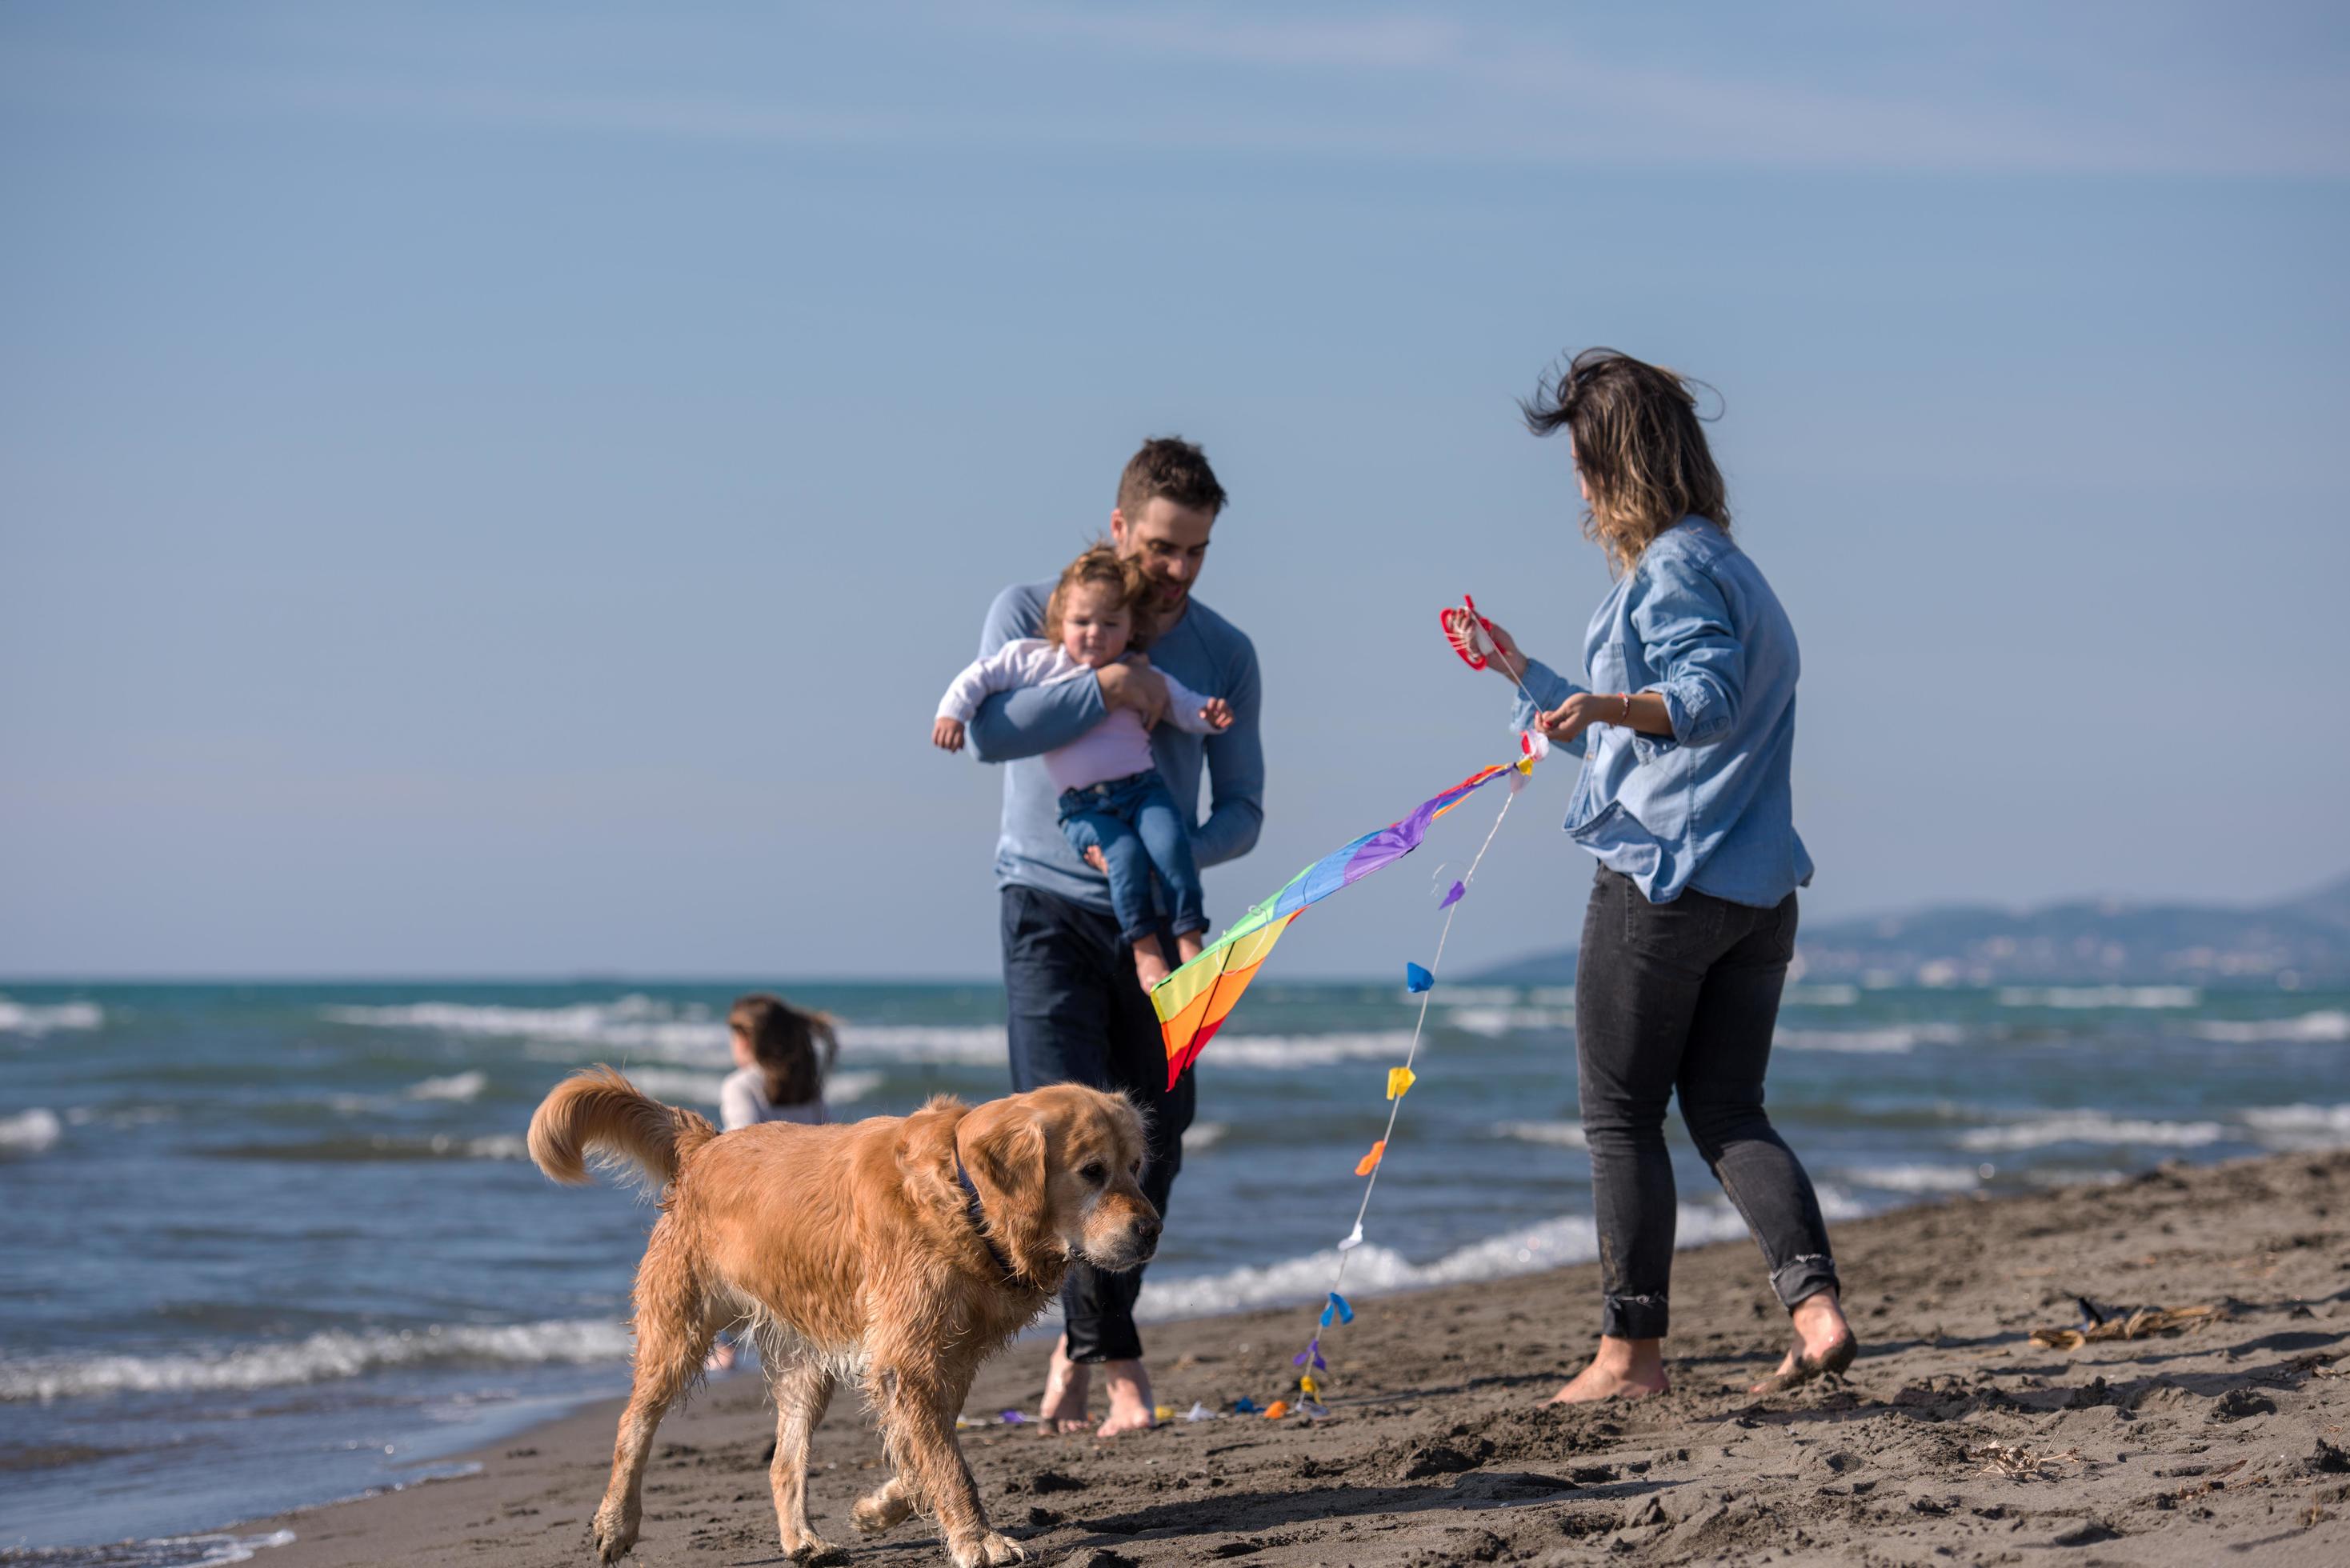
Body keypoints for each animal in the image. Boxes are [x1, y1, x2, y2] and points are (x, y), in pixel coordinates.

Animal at [528, 1067, 1160, 1568]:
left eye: (1134, 1167)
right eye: (1092, 1170)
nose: (1152, 1231)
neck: (967, 1197)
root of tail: (706, 1145)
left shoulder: (946, 1353)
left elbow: (925, 1450)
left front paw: (879, 1509)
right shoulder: (911, 1359)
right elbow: (946, 1461)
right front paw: (977, 1540)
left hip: (805, 1361)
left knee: (783, 1463)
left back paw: (803, 1541)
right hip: (678, 1330)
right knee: (632, 1424)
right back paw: (616, 1524)